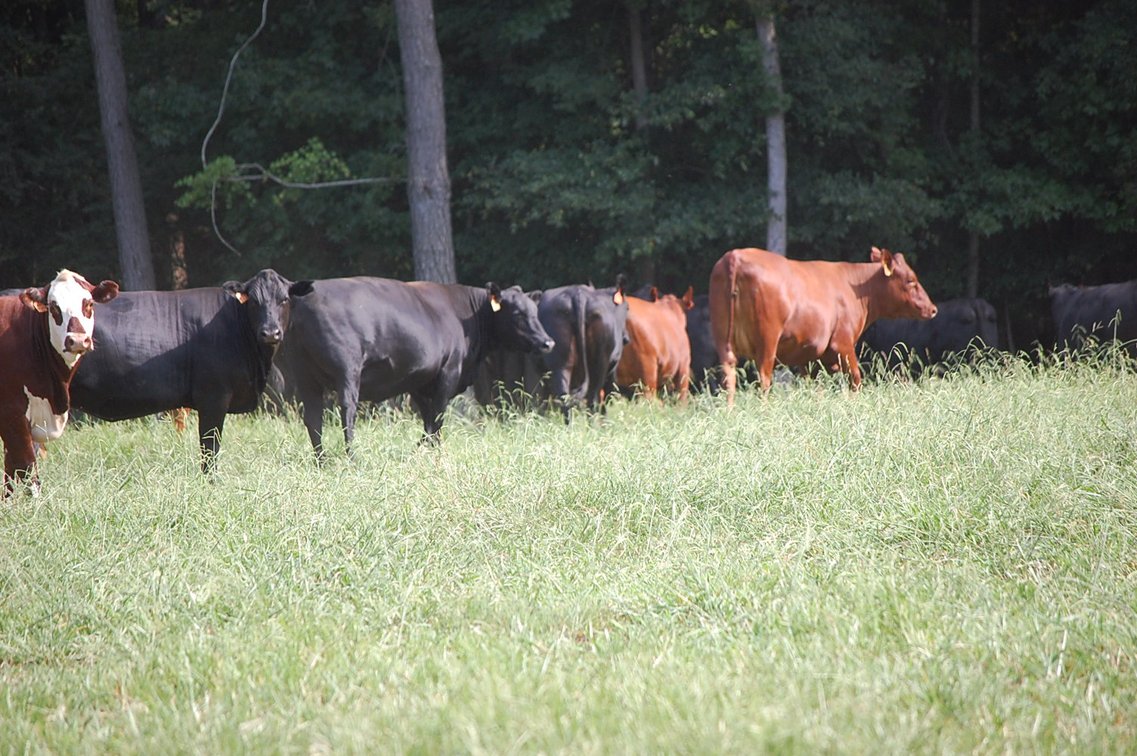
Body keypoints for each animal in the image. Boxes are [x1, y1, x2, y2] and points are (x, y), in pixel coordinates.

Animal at [0, 270, 119, 494]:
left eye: (89, 303)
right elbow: (26, 467)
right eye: (54, 307)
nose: (78, 340)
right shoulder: (12, 414)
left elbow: (11, 473)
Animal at [279, 278, 554, 456]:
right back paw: (351, 455)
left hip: (304, 375)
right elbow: (438, 417)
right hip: (347, 371)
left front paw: (426, 449)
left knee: (313, 417)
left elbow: (429, 420)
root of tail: (304, 298)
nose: (548, 342)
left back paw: (321, 459)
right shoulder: (448, 373)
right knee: (346, 410)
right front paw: (431, 451)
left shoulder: (418, 382)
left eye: (535, 312)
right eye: (517, 313)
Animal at [709, 246, 938, 403]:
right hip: (767, 340)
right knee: (764, 379)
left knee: (728, 378)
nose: (933, 308)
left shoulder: (810, 357)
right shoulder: (843, 343)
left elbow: (815, 387)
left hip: (723, 340)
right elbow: (856, 379)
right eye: (910, 280)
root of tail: (735, 256)